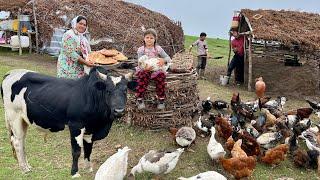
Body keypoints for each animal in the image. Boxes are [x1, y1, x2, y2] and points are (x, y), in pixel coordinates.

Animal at [0, 67, 135, 178]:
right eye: (108, 91)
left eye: (125, 91)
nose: (119, 110)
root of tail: (11, 73)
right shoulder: (76, 126)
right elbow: (76, 151)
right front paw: (75, 172)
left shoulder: (90, 129)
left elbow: (88, 149)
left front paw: (88, 168)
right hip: (14, 116)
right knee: (17, 141)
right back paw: (24, 169)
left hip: (24, 119)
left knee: (22, 141)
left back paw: (27, 165)